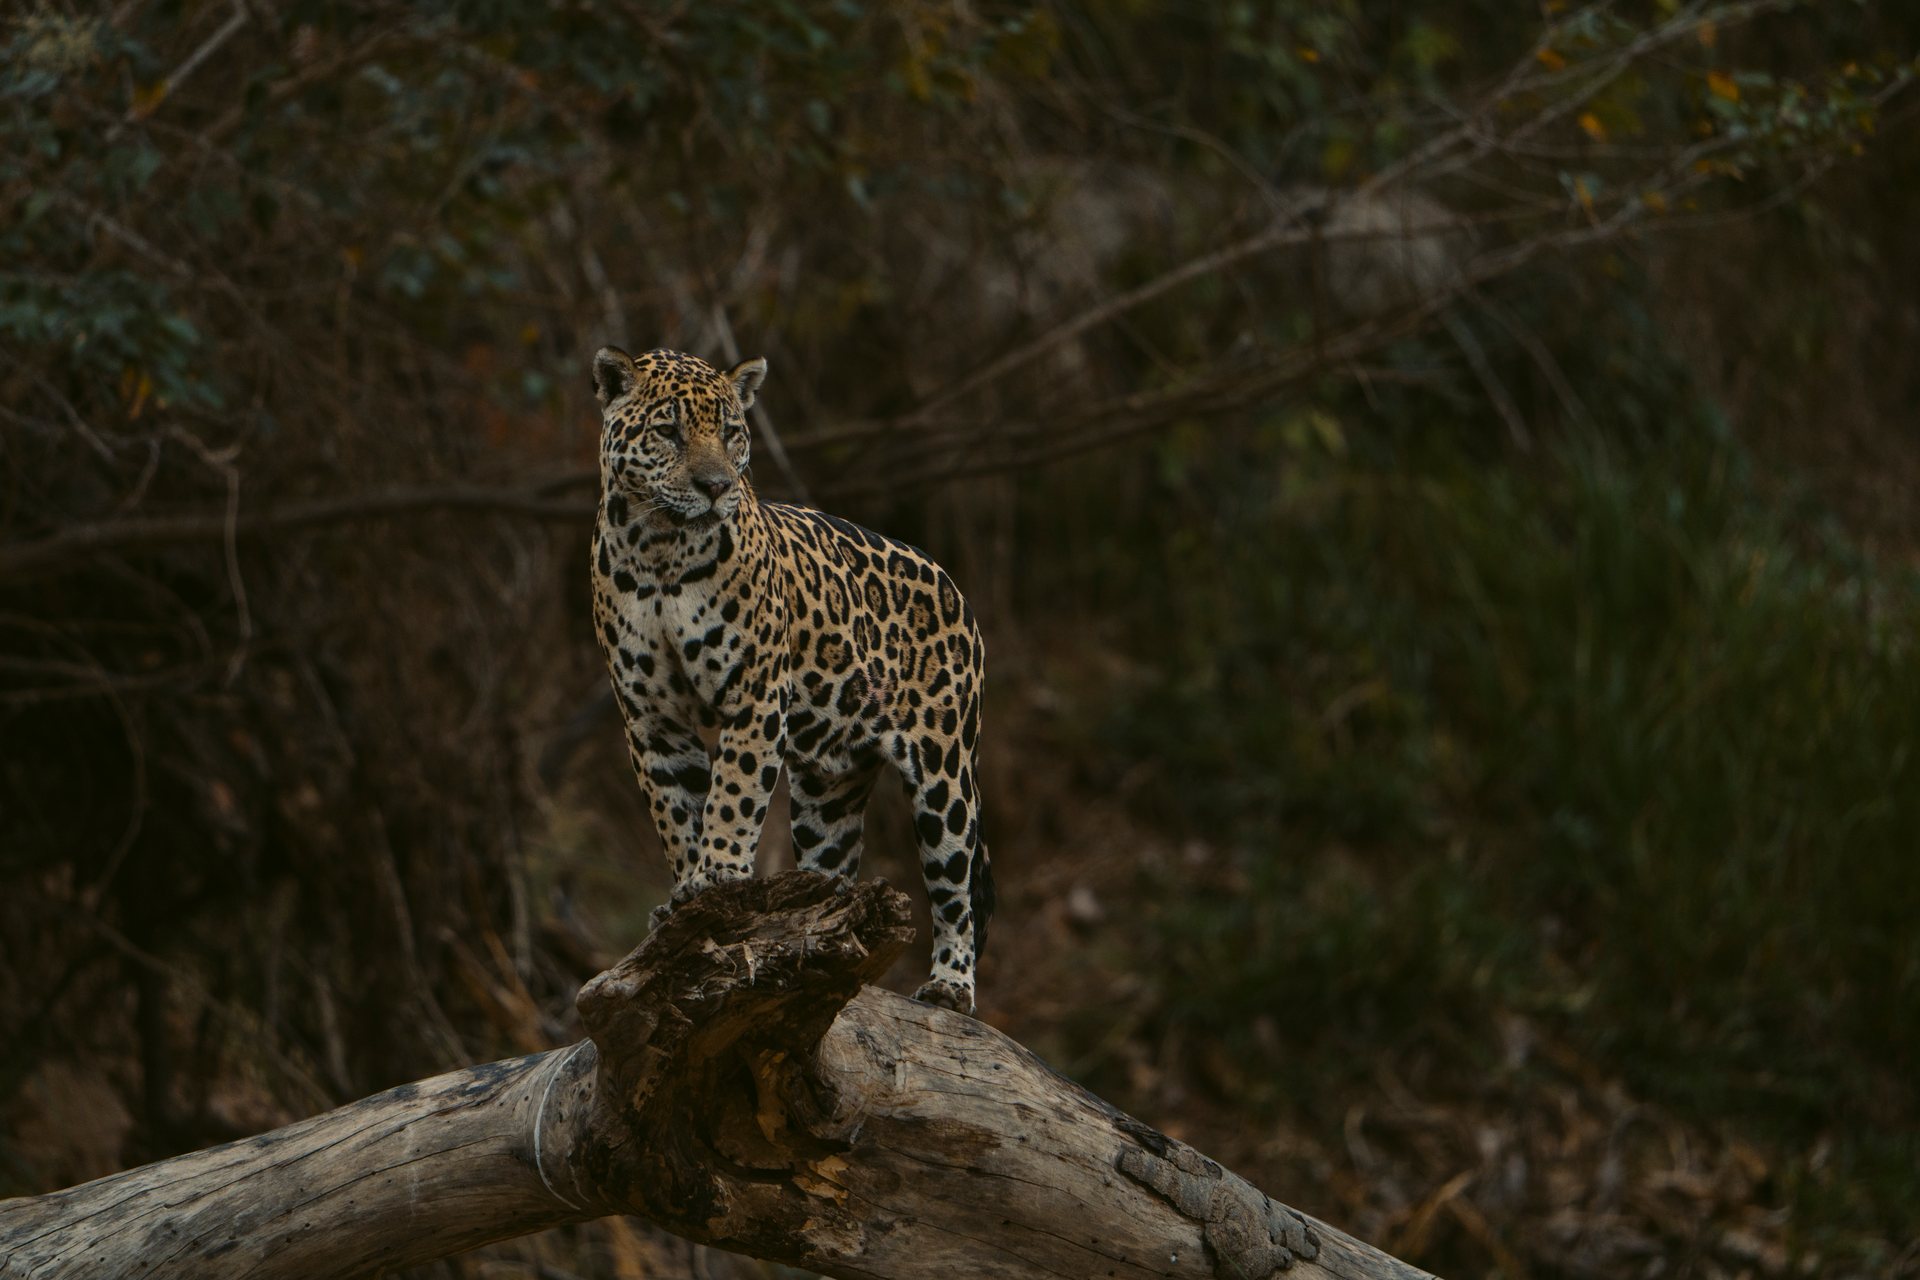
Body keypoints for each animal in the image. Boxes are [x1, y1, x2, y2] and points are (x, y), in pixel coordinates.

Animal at [588, 346, 994, 1014]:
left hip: (946, 772)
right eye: (669, 432)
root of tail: (953, 585)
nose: (716, 488)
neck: (661, 547)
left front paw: (720, 876)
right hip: (827, 794)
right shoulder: (652, 719)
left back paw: (949, 986)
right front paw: (687, 894)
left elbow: (732, 795)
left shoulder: (753, 696)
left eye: (731, 432)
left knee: (956, 885)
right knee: (835, 866)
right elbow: (677, 811)